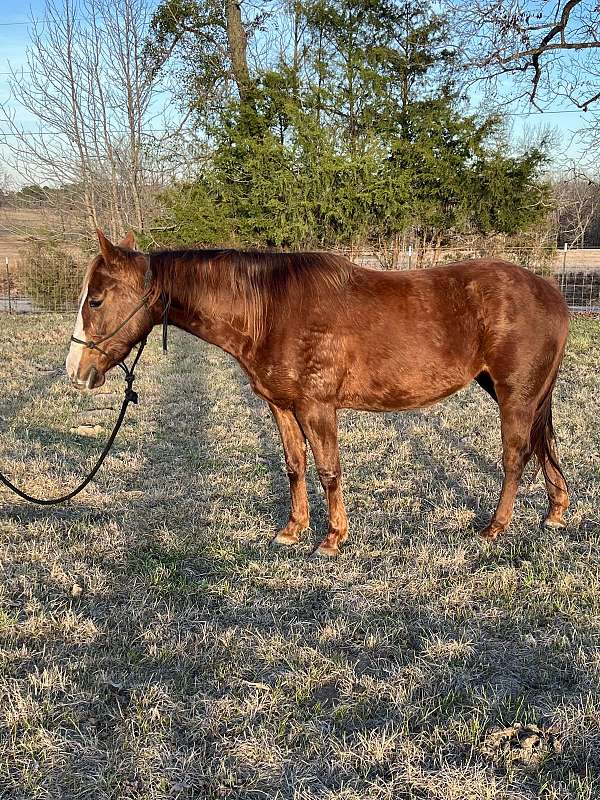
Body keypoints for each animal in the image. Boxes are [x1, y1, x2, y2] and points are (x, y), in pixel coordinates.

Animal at [65, 231, 568, 556]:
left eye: (96, 299)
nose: (76, 371)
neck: (269, 309)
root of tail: (551, 292)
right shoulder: (281, 406)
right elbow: (295, 466)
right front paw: (293, 529)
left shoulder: (317, 407)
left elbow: (329, 470)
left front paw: (332, 538)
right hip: (521, 394)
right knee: (545, 443)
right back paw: (556, 513)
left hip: (515, 394)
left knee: (516, 455)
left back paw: (495, 528)